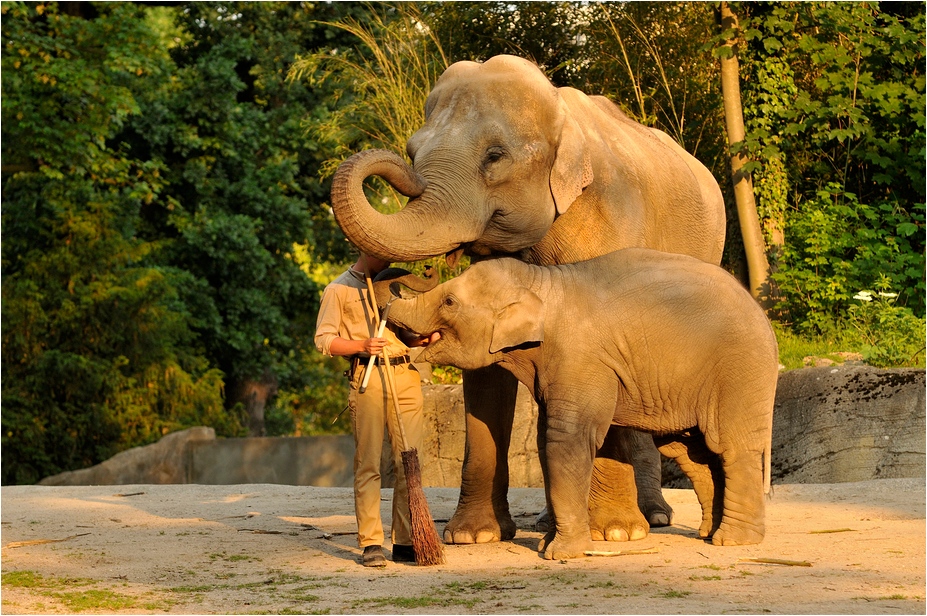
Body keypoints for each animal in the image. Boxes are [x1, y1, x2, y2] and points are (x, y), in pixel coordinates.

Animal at [330, 54, 727, 546]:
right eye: (413, 150)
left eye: (494, 155)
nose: (410, 276)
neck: (560, 110)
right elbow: (487, 371)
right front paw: (473, 536)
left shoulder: (611, 222)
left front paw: (613, 532)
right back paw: (549, 522)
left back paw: (649, 519)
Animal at [381, 249, 778, 560]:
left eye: (449, 302)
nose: (424, 270)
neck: (542, 283)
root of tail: (764, 316)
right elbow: (545, 442)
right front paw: (546, 545)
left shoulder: (581, 359)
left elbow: (566, 439)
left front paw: (560, 554)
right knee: (692, 452)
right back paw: (709, 535)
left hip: (739, 374)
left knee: (730, 447)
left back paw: (734, 541)